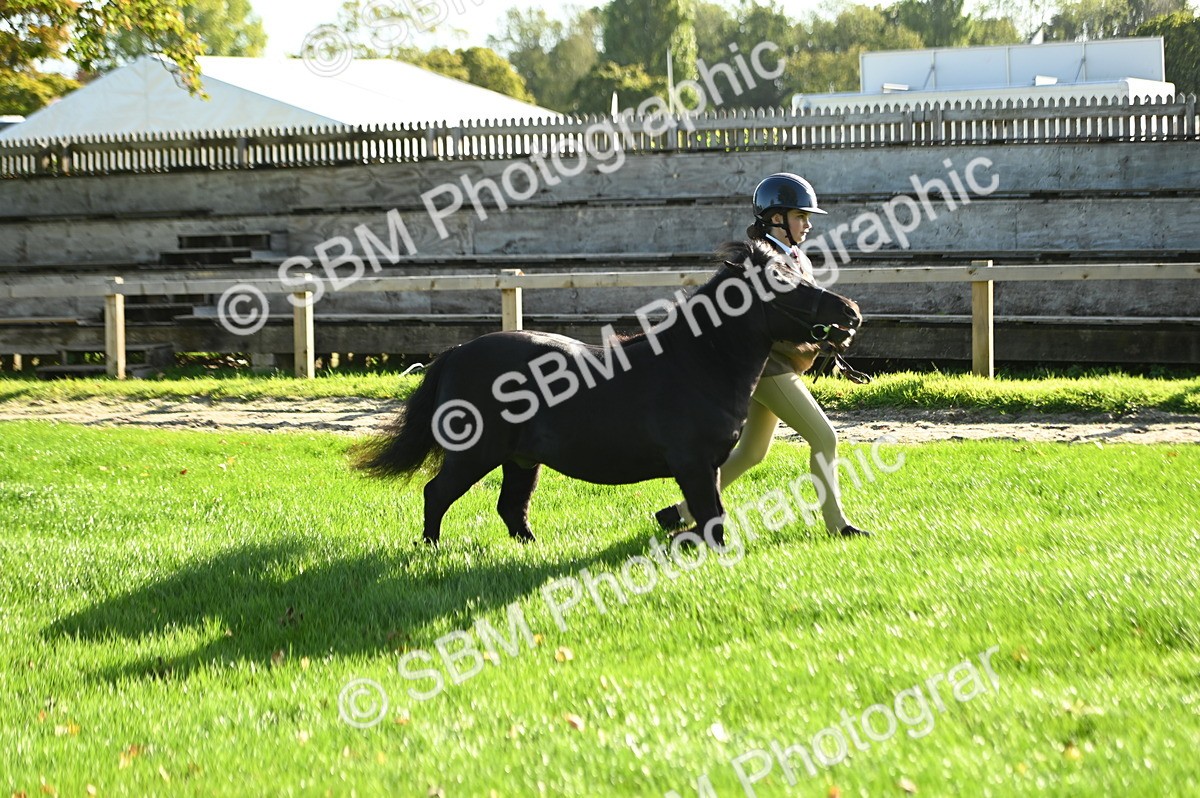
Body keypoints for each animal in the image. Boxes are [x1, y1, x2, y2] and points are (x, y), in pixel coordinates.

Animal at [352, 240, 862, 548]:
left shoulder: (709, 466)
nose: (850, 312)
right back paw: (431, 548)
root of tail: (455, 353)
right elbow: (712, 518)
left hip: (521, 460)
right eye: (783, 283)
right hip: (474, 456)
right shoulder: (694, 465)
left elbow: (709, 513)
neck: (697, 363)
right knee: (436, 493)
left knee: (511, 508)